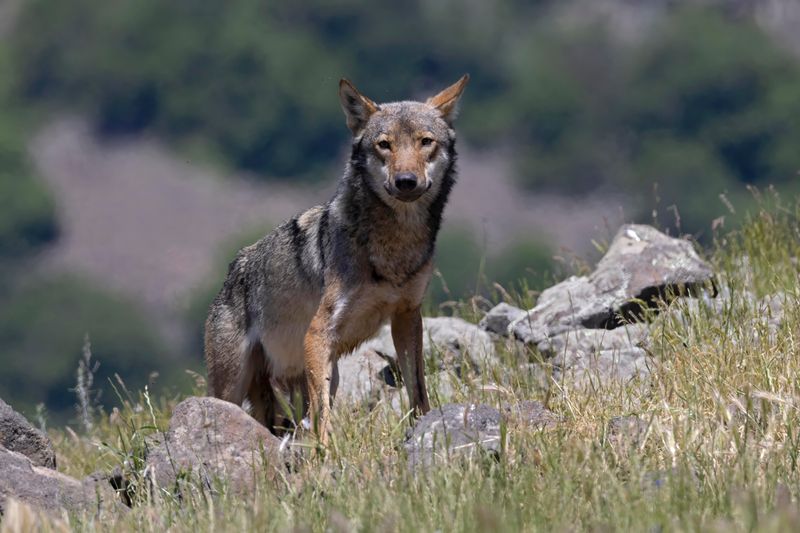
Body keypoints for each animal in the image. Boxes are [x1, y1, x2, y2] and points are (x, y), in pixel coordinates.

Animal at [205, 74, 468, 440]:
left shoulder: (407, 316)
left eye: (425, 142)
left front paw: (423, 427)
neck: (393, 247)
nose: (405, 181)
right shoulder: (316, 334)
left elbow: (418, 388)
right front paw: (326, 452)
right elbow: (323, 418)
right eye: (384, 145)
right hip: (235, 385)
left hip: (320, 374)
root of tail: (233, 271)